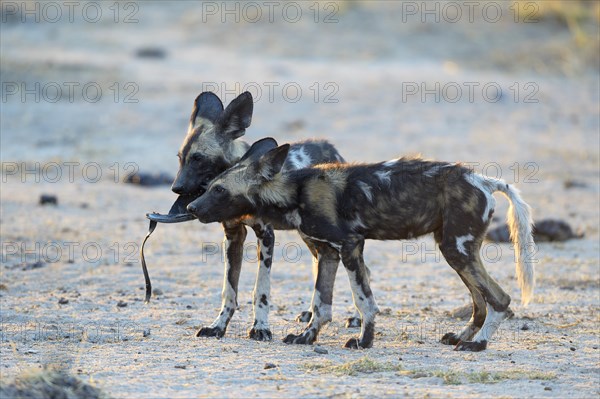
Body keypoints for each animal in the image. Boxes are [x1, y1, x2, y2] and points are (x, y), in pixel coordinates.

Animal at [171, 90, 354, 340]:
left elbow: (261, 289)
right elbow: (229, 290)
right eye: (180, 157)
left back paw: (355, 317)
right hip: (308, 234)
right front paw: (218, 326)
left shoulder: (266, 236)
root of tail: (330, 147)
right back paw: (310, 312)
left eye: (198, 158)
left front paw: (260, 327)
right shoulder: (233, 236)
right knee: (319, 261)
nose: (176, 188)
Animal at [186, 139, 536, 352]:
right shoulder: (327, 253)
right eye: (208, 186)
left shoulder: (350, 246)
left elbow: (363, 301)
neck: (295, 193)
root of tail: (484, 180)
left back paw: (478, 344)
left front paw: (363, 341)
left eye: (219, 190)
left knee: (500, 299)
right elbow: (321, 304)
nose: (191, 207)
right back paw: (462, 336)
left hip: (457, 250)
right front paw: (306, 337)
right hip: (455, 251)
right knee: (480, 302)